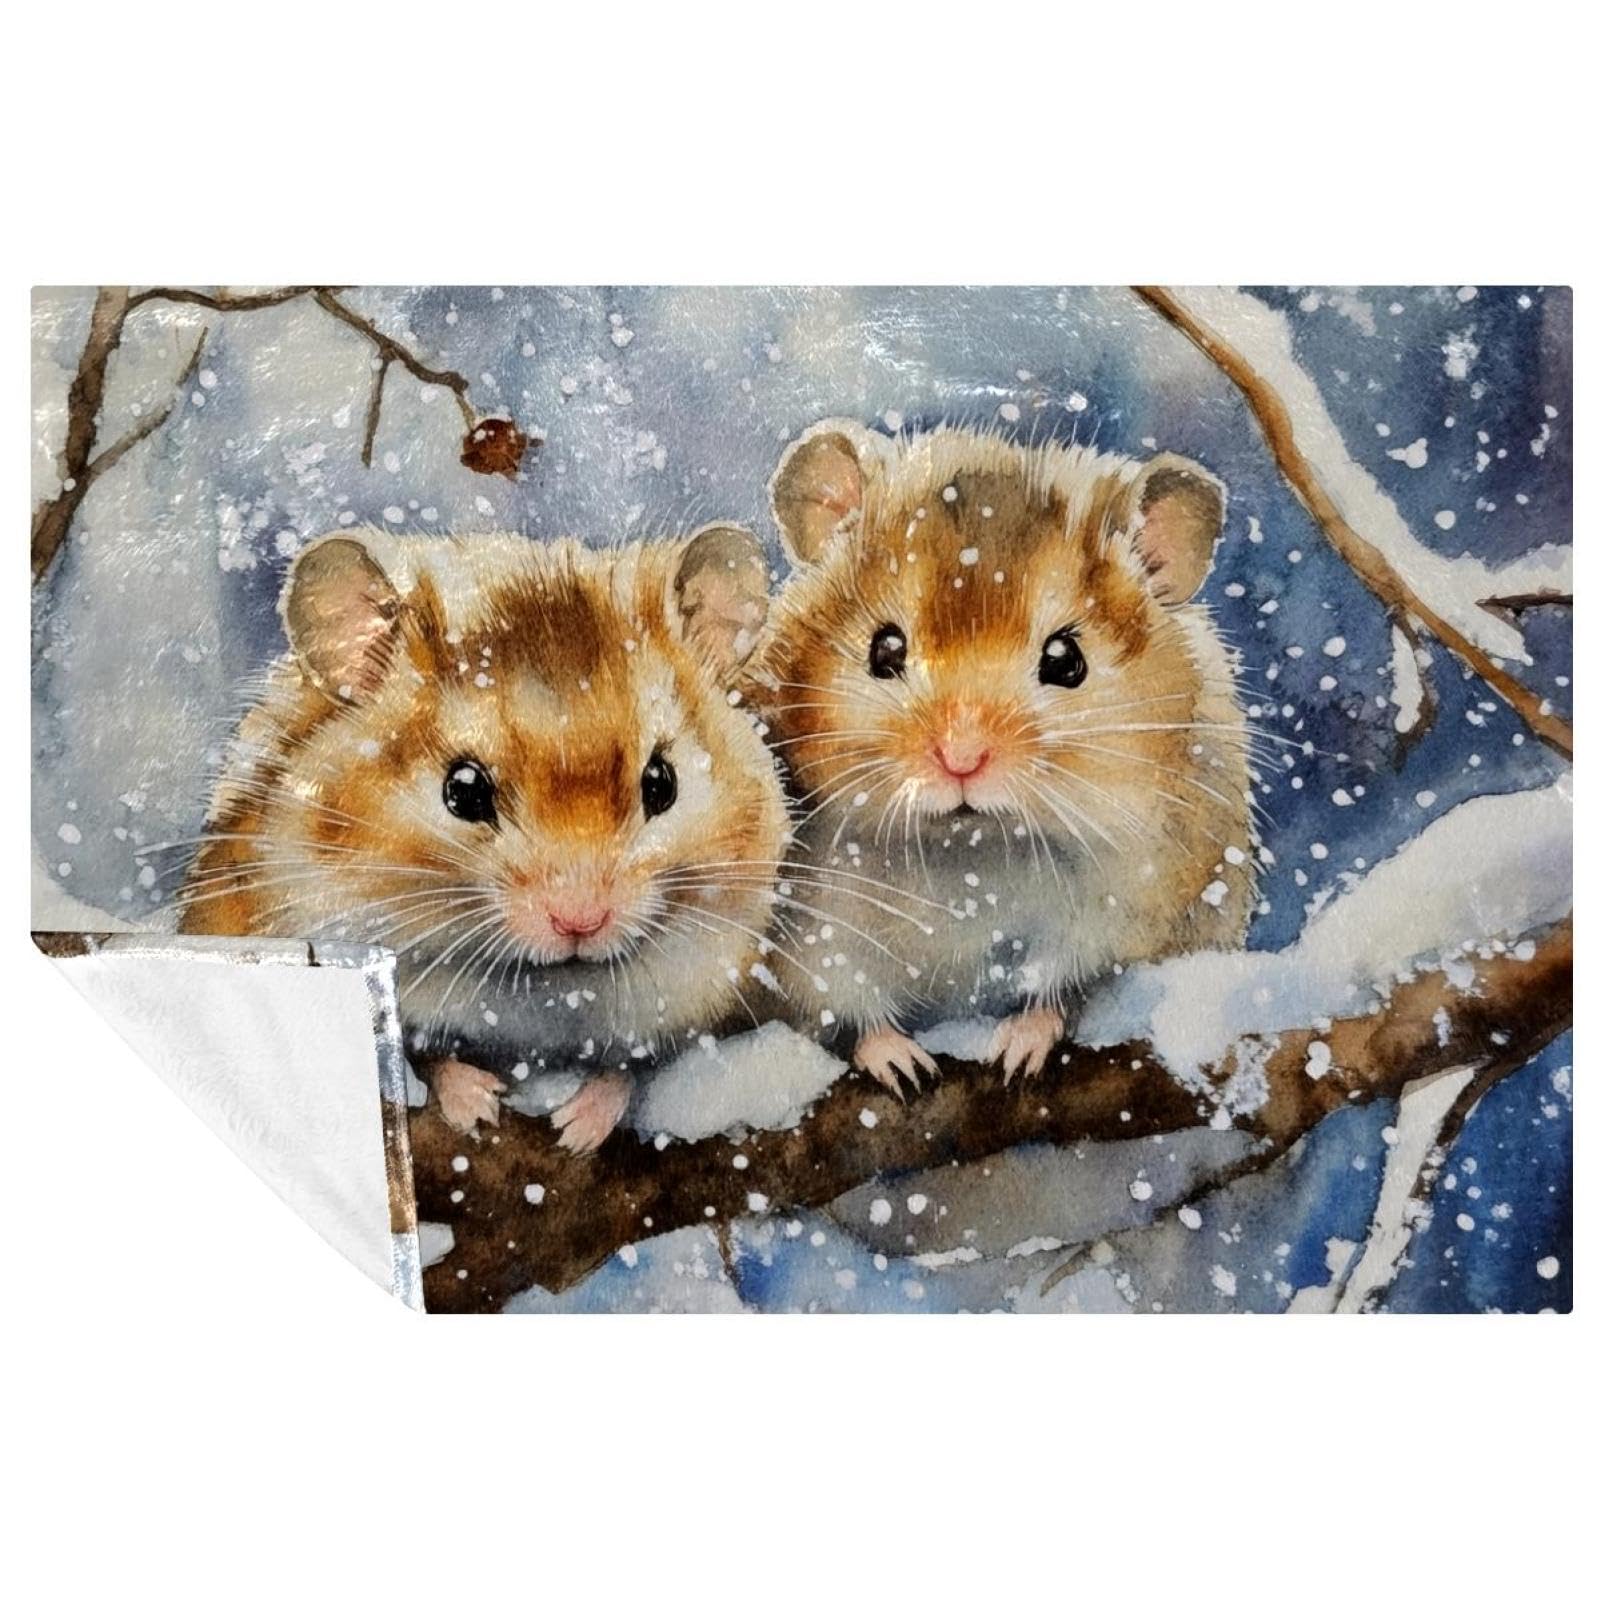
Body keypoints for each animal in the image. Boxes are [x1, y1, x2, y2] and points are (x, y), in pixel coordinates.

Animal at [179, 524, 789, 1152]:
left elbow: (627, 1068)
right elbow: (427, 1054)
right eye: (464, 791)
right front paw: (481, 1107)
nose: (580, 922)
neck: (545, 990)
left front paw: (575, 1130)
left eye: (661, 783)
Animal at [743, 419, 1257, 1093]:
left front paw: (1016, 1055)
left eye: (1066, 660)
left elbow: (1061, 985)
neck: (970, 855)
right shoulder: (811, 935)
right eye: (885, 649)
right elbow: (851, 1004)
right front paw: (906, 1070)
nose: (960, 758)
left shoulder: (1132, 903)